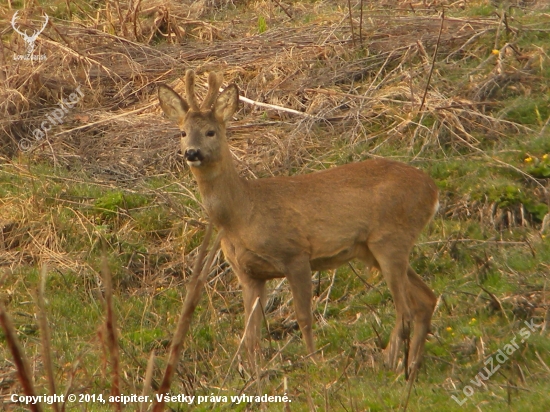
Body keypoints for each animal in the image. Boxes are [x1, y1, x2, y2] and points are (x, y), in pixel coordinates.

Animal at [158, 70, 440, 376]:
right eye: (183, 132)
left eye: (211, 132)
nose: (192, 152)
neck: (242, 214)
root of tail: (432, 189)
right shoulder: (248, 273)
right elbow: (250, 331)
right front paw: (254, 373)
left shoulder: (295, 254)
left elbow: (304, 316)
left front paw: (315, 362)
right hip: (373, 249)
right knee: (426, 299)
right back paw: (412, 366)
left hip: (390, 238)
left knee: (405, 309)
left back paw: (392, 365)